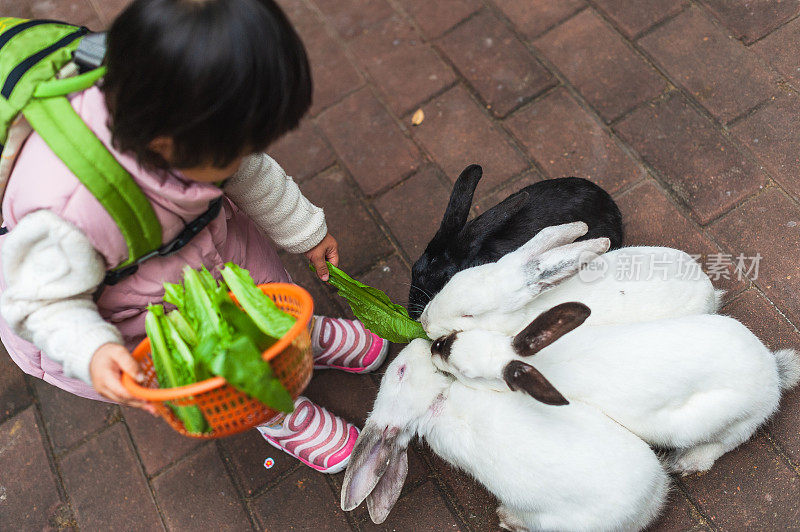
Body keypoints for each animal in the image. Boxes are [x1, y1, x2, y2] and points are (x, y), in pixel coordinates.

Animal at [432, 304, 800, 474]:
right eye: (461, 335)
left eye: (465, 373)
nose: (435, 347)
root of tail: (772, 376)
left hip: (711, 422)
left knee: (728, 441)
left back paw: (687, 462)